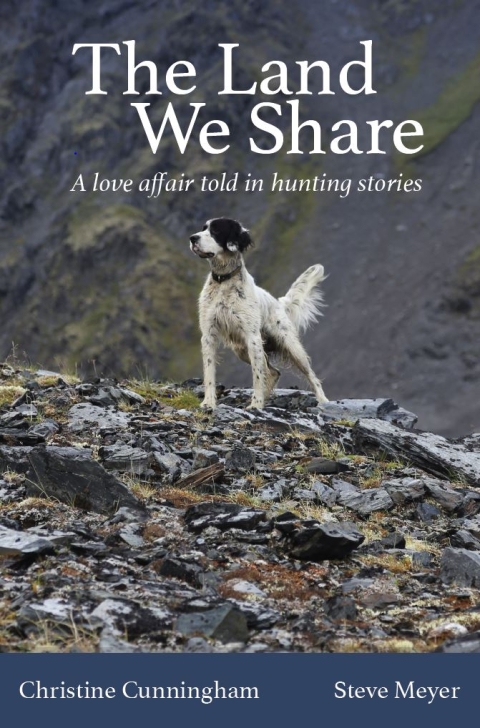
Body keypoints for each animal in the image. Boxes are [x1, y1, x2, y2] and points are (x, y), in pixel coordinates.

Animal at [189, 216, 328, 410]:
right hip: (242, 349)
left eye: (216, 230)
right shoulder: (209, 335)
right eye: (203, 228)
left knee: (310, 375)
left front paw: (255, 404)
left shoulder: (252, 337)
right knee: (273, 372)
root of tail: (278, 302)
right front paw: (208, 402)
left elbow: (256, 375)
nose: (193, 238)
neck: (224, 281)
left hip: (290, 345)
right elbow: (209, 373)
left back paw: (324, 401)